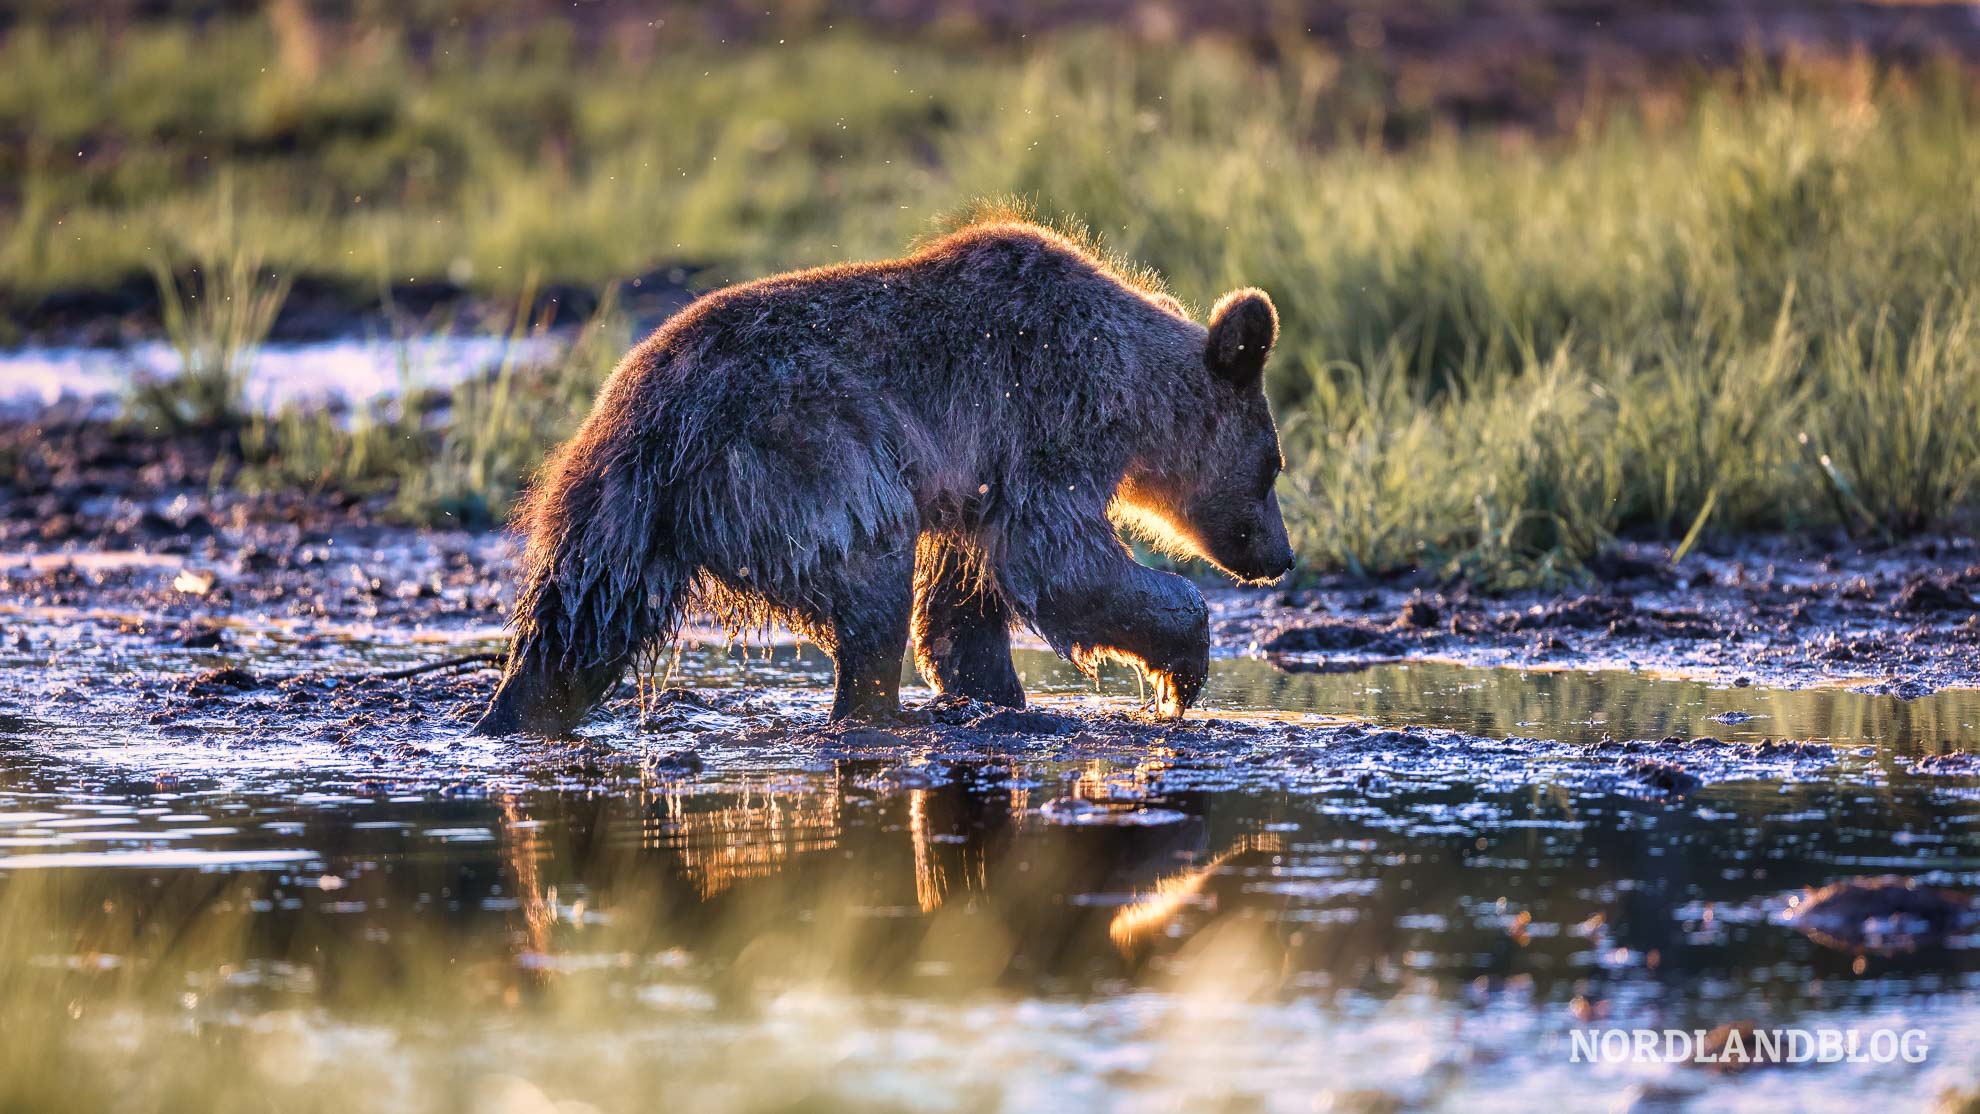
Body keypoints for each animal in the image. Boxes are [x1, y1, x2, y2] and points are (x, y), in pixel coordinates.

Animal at [471, 221, 1290, 736]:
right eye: (1274, 465)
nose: (1279, 557)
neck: (1130, 391)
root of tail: (647, 422)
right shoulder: (1044, 416)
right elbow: (1061, 564)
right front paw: (1181, 664)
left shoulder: (972, 484)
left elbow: (964, 608)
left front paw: (994, 696)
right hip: (806, 462)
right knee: (870, 588)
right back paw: (870, 713)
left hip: (612, 520)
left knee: (574, 631)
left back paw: (512, 714)